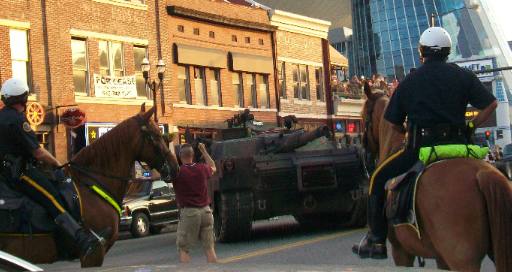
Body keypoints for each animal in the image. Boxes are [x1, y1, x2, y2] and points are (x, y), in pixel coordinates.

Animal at [360, 84, 512, 270]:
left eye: (363, 116)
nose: (365, 155)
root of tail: (482, 173)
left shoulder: (401, 252)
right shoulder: (440, 257)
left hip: (461, 259)